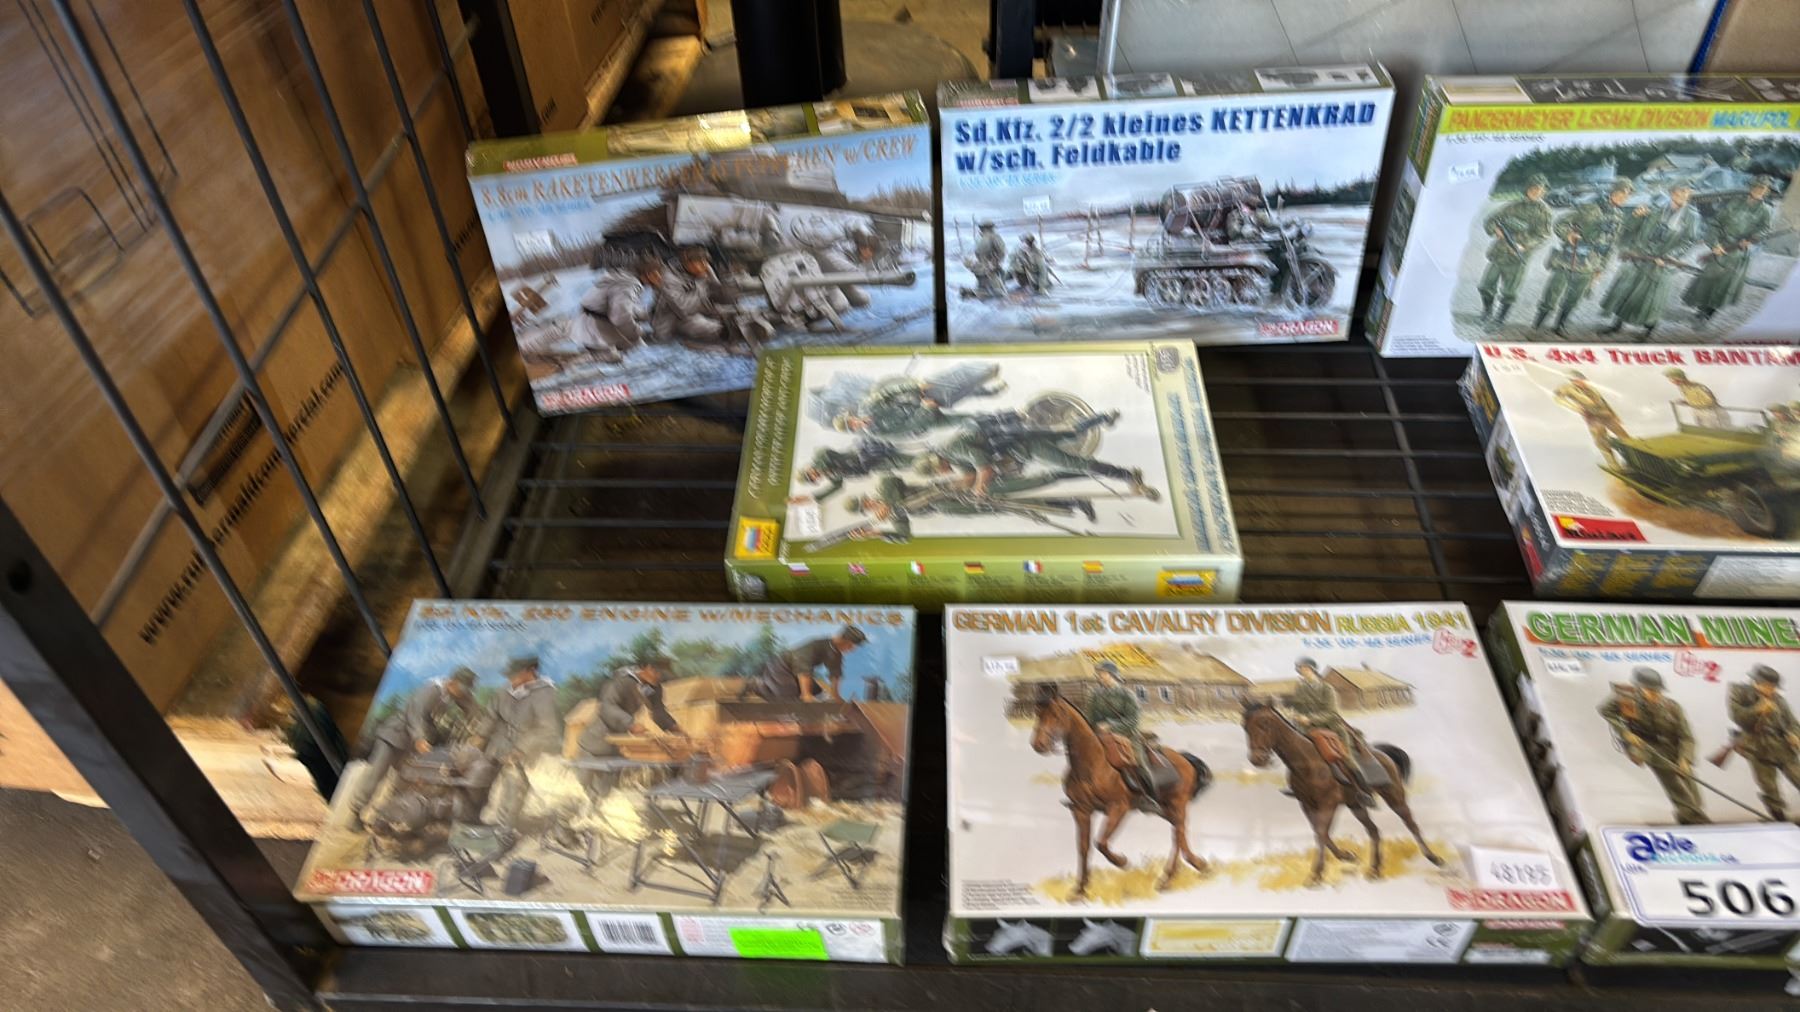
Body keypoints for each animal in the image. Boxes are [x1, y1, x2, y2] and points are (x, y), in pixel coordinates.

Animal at [1029, 685, 1212, 899]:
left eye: (1056, 714)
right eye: (1038, 712)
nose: (1038, 745)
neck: (1092, 764)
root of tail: (1184, 759)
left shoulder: (1118, 808)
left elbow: (1101, 842)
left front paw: (1121, 862)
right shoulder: (1081, 811)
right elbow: (1083, 848)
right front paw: (1080, 889)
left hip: (1178, 805)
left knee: (1179, 834)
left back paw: (1175, 875)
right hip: (1165, 809)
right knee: (1178, 834)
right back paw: (1187, 869)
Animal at [1241, 701, 1443, 886]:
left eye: (1265, 723)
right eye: (1245, 726)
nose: (1257, 759)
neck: (1307, 762)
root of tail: (1383, 754)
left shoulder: (1328, 804)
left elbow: (1321, 833)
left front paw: (1316, 874)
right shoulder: (1306, 804)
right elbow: (1320, 832)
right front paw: (1345, 856)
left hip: (1395, 798)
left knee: (1410, 824)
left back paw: (1434, 858)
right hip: (1356, 805)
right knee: (1374, 831)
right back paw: (1375, 869)